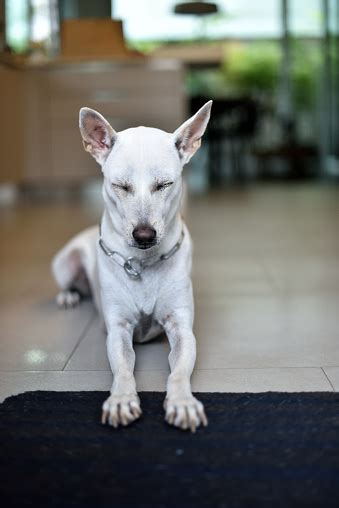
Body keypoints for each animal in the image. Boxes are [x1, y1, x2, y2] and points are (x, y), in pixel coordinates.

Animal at [51, 100, 212, 432]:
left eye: (164, 185)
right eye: (120, 186)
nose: (144, 235)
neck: (143, 264)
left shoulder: (182, 328)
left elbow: (179, 371)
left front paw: (183, 402)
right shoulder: (118, 330)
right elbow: (122, 370)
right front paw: (121, 399)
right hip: (65, 263)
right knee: (67, 283)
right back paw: (68, 296)